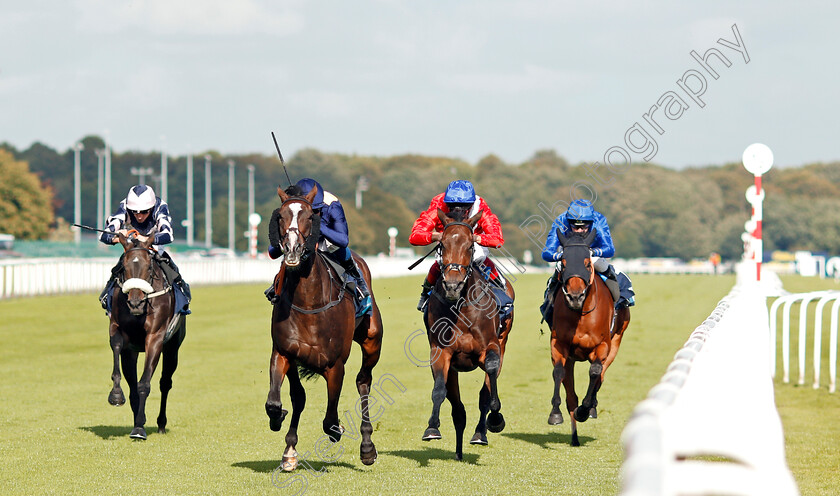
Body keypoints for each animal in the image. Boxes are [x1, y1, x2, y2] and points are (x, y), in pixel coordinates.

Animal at [106, 230, 187, 442]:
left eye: (148, 267)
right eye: (124, 267)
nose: (135, 302)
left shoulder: (155, 337)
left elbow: (144, 384)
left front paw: (139, 429)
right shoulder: (119, 332)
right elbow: (116, 348)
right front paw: (116, 395)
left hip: (172, 348)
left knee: (165, 383)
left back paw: (160, 424)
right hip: (133, 352)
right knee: (133, 387)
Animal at [266, 184, 384, 470]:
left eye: (310, 216)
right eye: (280, 216)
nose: (292, 249)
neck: (309, 302)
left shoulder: (335, 364)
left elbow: (330, 420)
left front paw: (338, 429)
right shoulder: (284, 352)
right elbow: (283, 400)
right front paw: (286, 442)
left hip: (372, 341)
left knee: (363, 381)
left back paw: (367, 447)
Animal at [424, 207, 516, 460]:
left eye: (469, 246)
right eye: (442, 245)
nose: (452, 285)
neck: (461, 306)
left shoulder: (491, 347)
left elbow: (489, 381)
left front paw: (496, 417)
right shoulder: (441, 352)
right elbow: (439, 389)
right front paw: (432, 428)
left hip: (503, 342)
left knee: (485, 391)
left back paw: (480, 433)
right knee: (457, 406)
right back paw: (458, 450)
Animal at [548, 229, 628, 446]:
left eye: (586, 262)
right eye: (564, 262)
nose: (575, 296)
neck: (580, 314)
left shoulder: (603, 345)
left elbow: (595, 372)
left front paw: (586, 409)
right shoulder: (559, 344)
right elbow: (558, 372)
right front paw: (555, 414)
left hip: (616, 343)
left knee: (601, 374)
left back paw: (590, 406)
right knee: (571, 393)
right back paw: (575, 435)